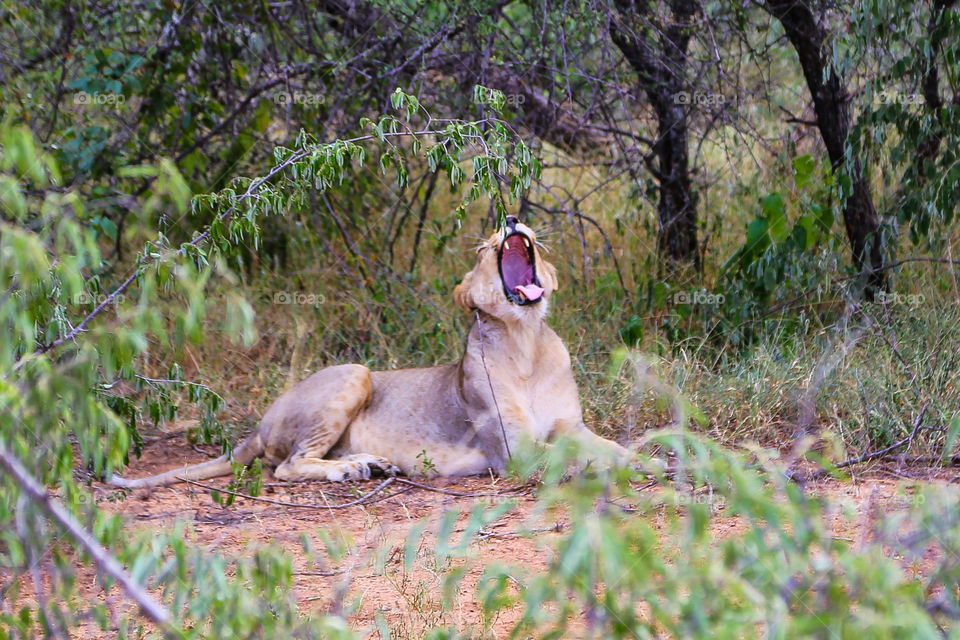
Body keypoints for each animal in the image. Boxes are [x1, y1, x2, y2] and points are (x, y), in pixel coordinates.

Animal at [107, 216, 632, 490]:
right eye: (485, 249)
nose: (510, 220)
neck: (526, 343)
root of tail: (257, 426)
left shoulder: (571, 426)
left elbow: (607, 446)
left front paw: (642, 456)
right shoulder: (514, 450)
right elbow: (577, 458)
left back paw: (372, 464)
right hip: (354, 373)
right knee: (287, 466)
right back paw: (349, 469)